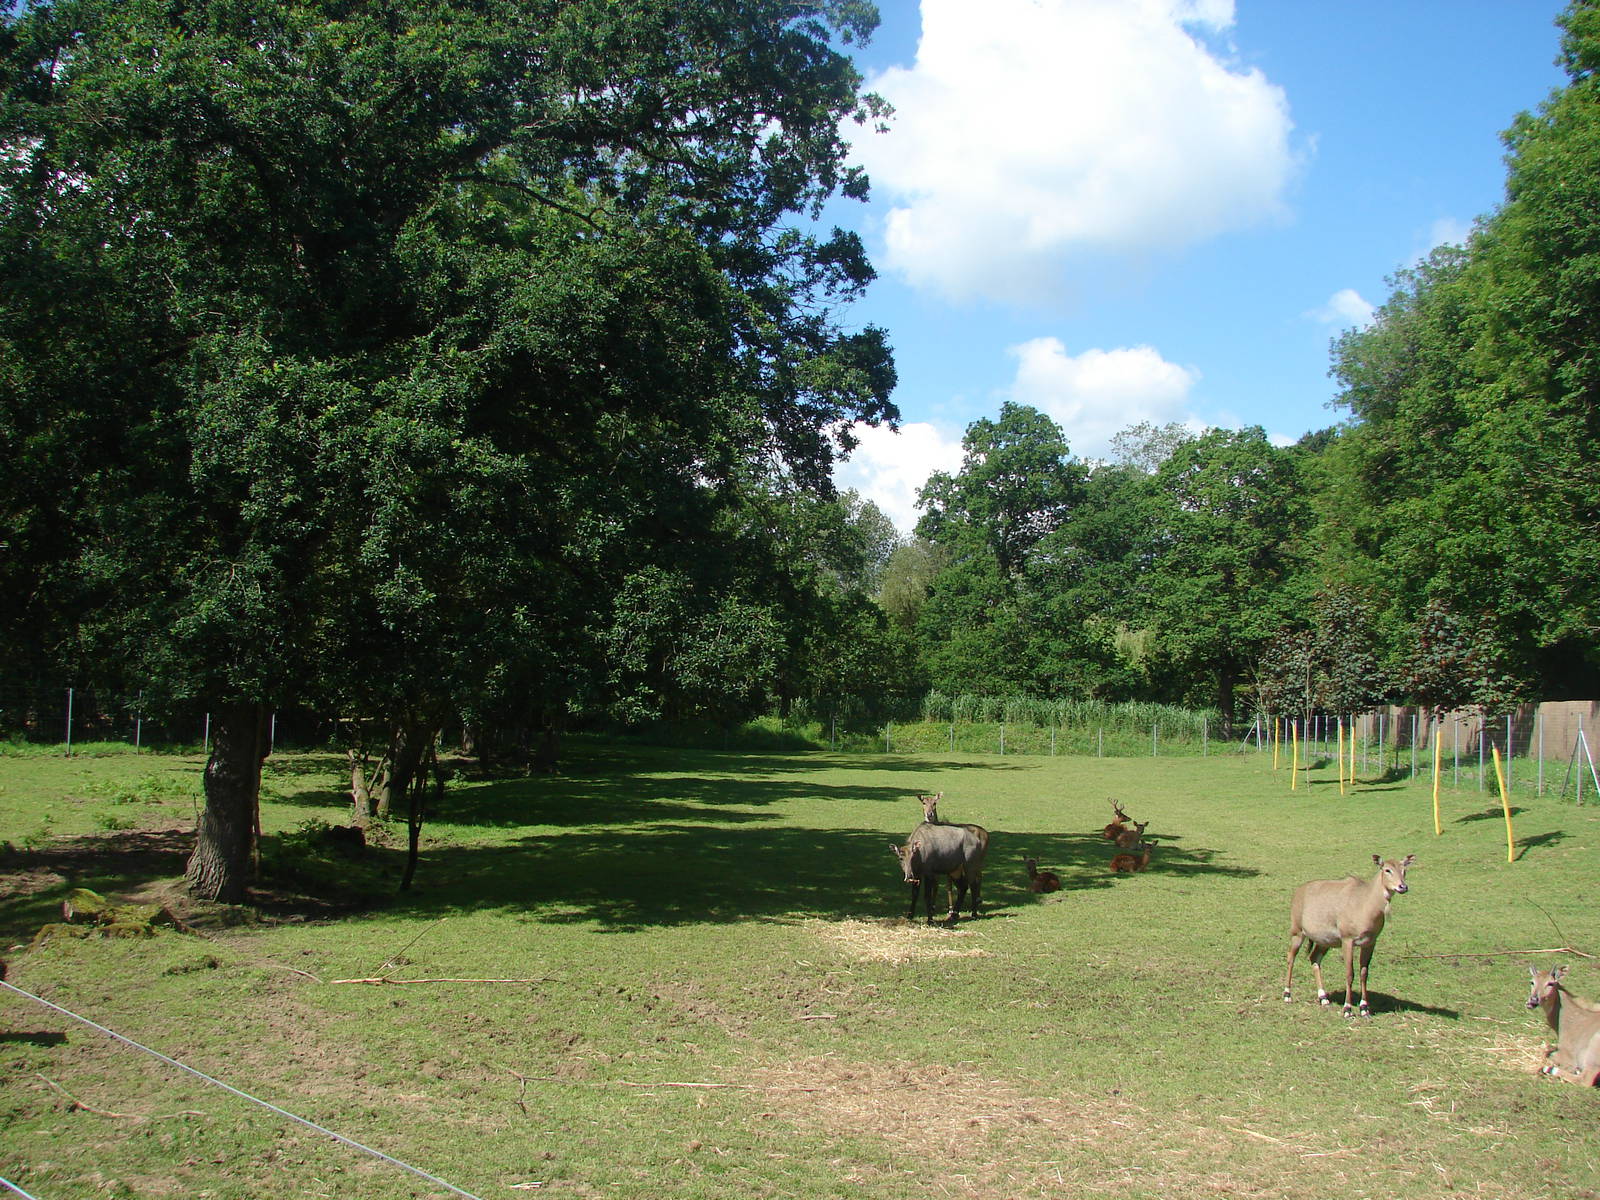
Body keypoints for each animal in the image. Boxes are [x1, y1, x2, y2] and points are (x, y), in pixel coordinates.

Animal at [1284, 854, 1414, 1017]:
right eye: (1387, 869)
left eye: (1404, 870)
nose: (1403, 887)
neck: (1366, 905)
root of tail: (1298, 892)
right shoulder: (1347, 939)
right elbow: (1349, 973)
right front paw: (1347, 1009)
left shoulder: (1370, 942)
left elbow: (1364, 972)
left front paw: (1364, 1008)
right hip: (1297, 931)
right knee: (1291, 957)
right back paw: (1287, 995)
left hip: (1325, 941)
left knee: (1314, 958)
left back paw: (1323, 998)